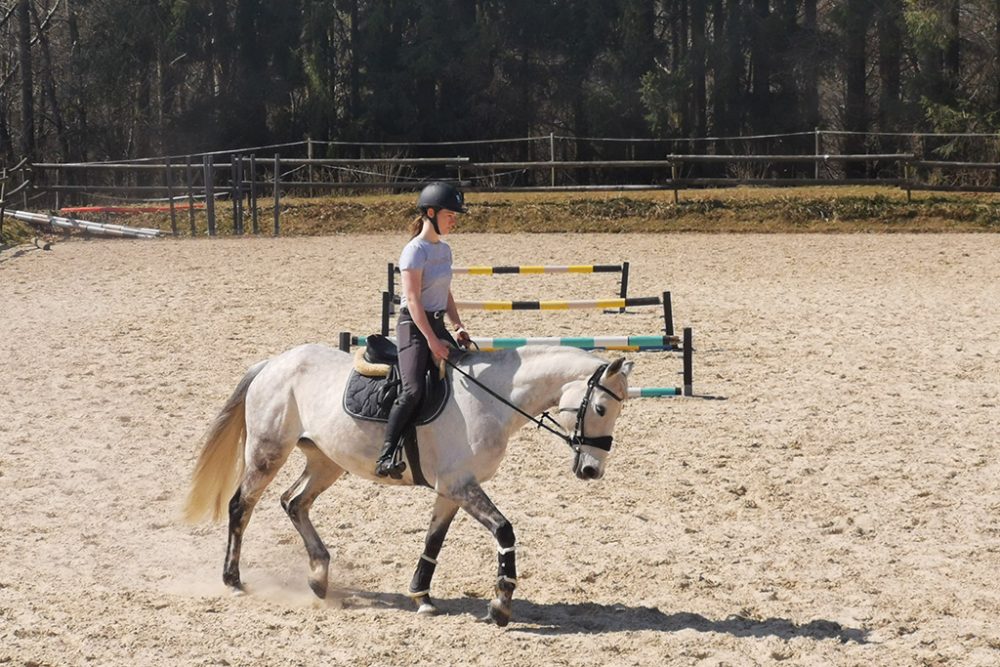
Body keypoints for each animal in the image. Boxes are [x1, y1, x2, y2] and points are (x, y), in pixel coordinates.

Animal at [186, 344, 632, 628]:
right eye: (600, 408)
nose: (592, 470)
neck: (490, 400)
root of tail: (274, 362)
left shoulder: (451, 490)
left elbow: (433, 541)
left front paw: (422, 596)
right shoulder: (461, 484)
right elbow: (505, 531)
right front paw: (501, 604)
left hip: (327, 461)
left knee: (294, 503)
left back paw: (318, 576)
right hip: (268, 453)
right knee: (242, 506)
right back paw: (233, 580)